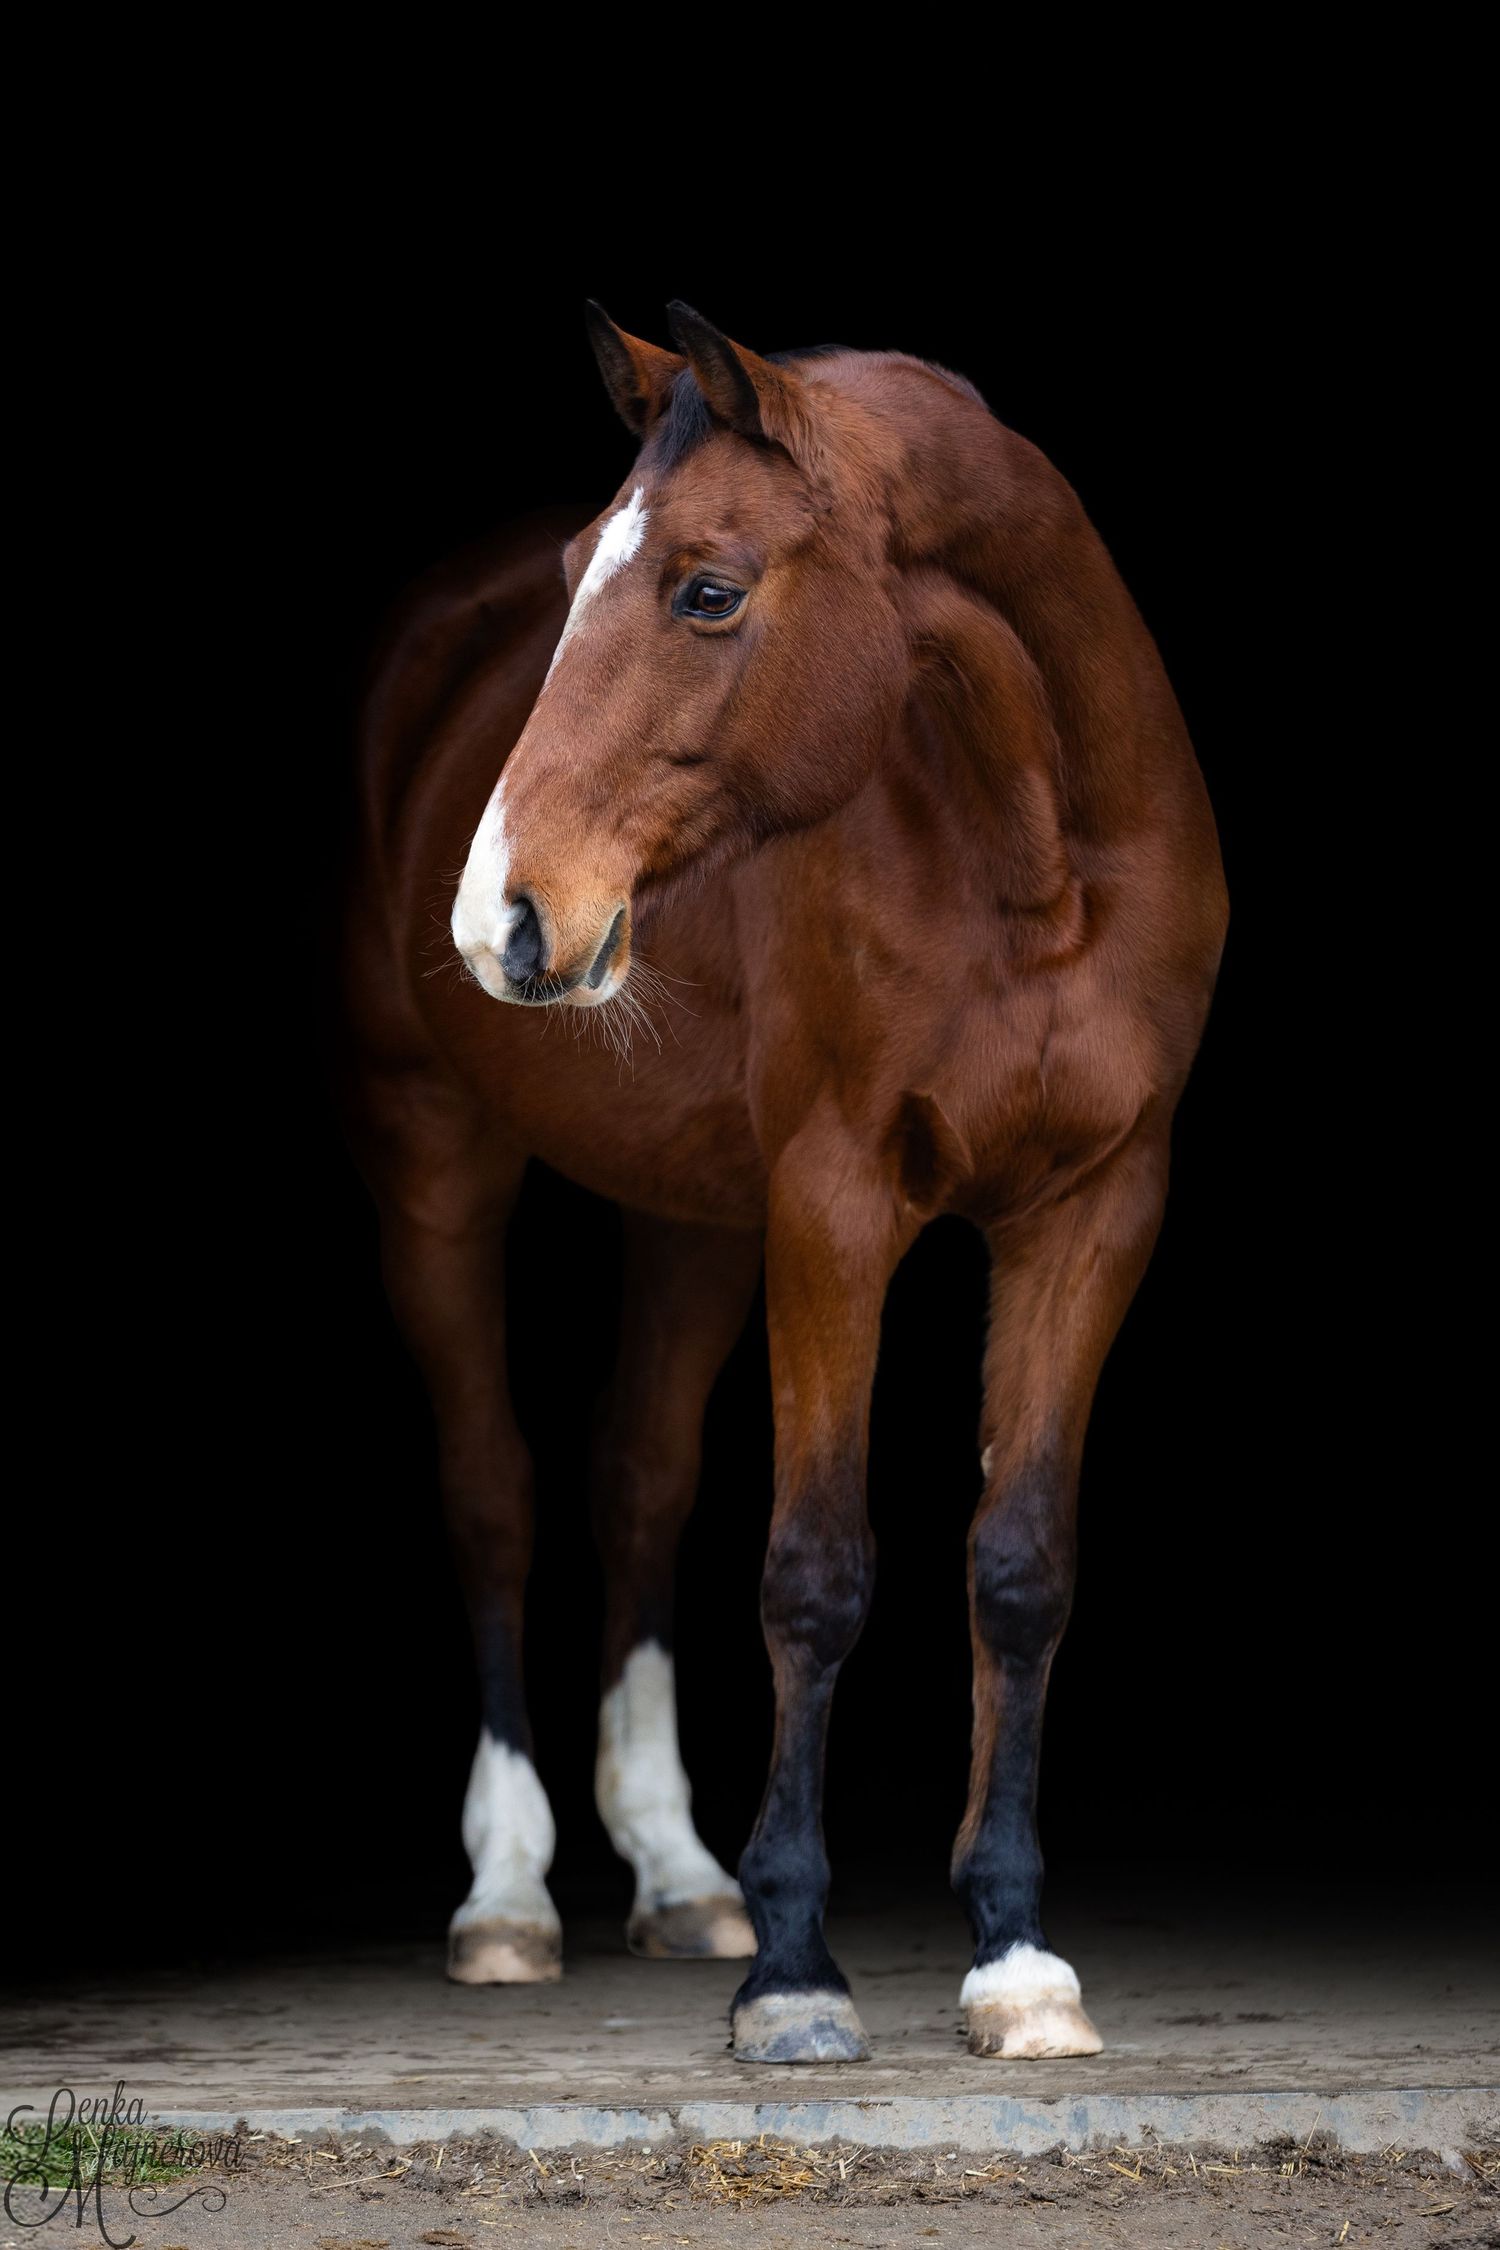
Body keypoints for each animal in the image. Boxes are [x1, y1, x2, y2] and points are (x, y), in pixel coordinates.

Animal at [339, 301, 1228, 2064]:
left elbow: (1020, 1565)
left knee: (635, 1483)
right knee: (492, 1492)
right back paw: (510, 1893)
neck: (1039, 862)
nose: (500, 915)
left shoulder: (1097, 1210)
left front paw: (1015, 1955)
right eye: (572, 573)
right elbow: (815, 1573)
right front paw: (803, 1972)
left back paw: (681, 1877)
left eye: (708, 588)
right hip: (436, 1155)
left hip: (687, 1215)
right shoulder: (834, 1206)